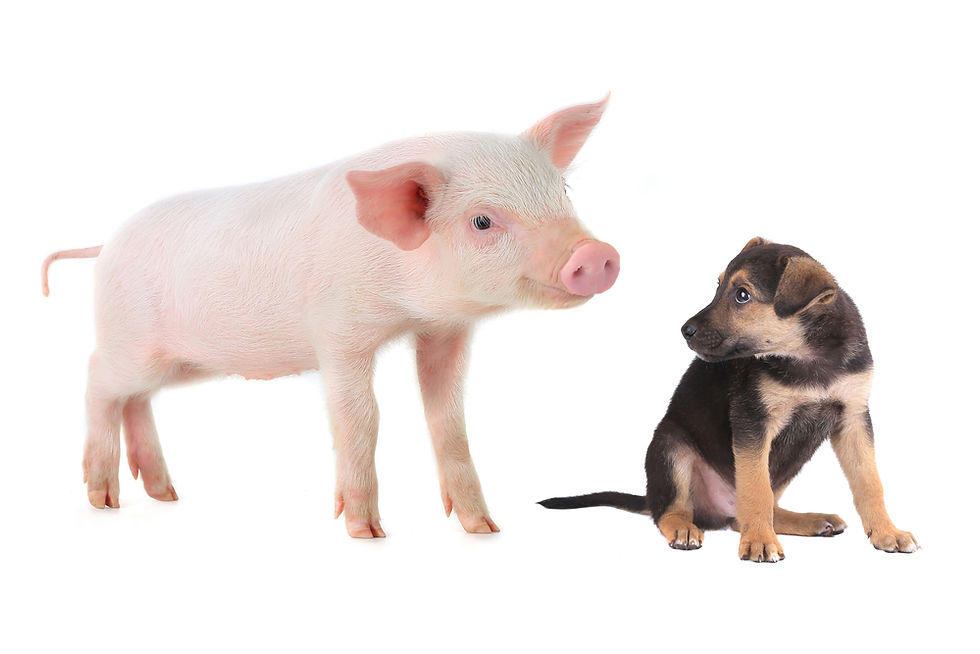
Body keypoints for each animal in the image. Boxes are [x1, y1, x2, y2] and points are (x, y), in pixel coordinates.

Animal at [42, 97, 620, 538]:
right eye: (482, 221)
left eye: (563, 192)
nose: (596, 255)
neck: (405, 301)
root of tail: (106, 244)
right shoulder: (339, 331)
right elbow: (360, 416)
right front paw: (366, 532)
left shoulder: (445, 331)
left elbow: (449, 419)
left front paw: (484, 529)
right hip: (129, 342)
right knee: (97, 380)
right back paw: (104, 500)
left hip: (180, 363)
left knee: (136, 399)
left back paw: (165, 494)